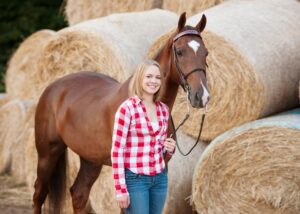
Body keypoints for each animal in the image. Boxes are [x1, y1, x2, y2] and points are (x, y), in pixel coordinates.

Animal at [32, 12, 209, 213]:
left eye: (205, 53)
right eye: (179, 51)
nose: (201, 95)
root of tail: (53, 88)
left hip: (90, 160)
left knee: (78, 194)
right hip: (47, 153)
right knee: (39, 193)